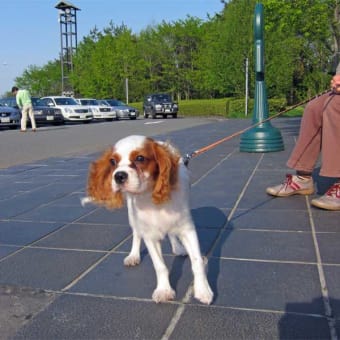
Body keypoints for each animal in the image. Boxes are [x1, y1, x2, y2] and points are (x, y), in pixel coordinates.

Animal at [84, 134, 212, 304]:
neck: (150, 197)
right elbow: (160, 266)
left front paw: (203, 290)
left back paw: (178, 248)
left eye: (140, 158)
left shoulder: (187, 229)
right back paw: (134, 255)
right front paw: (164, 290)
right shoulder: (149, 235)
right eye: (112, 161)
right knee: (137, 234)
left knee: (172, 234)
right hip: (132, 214)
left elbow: (197, 261)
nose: (118, 176)